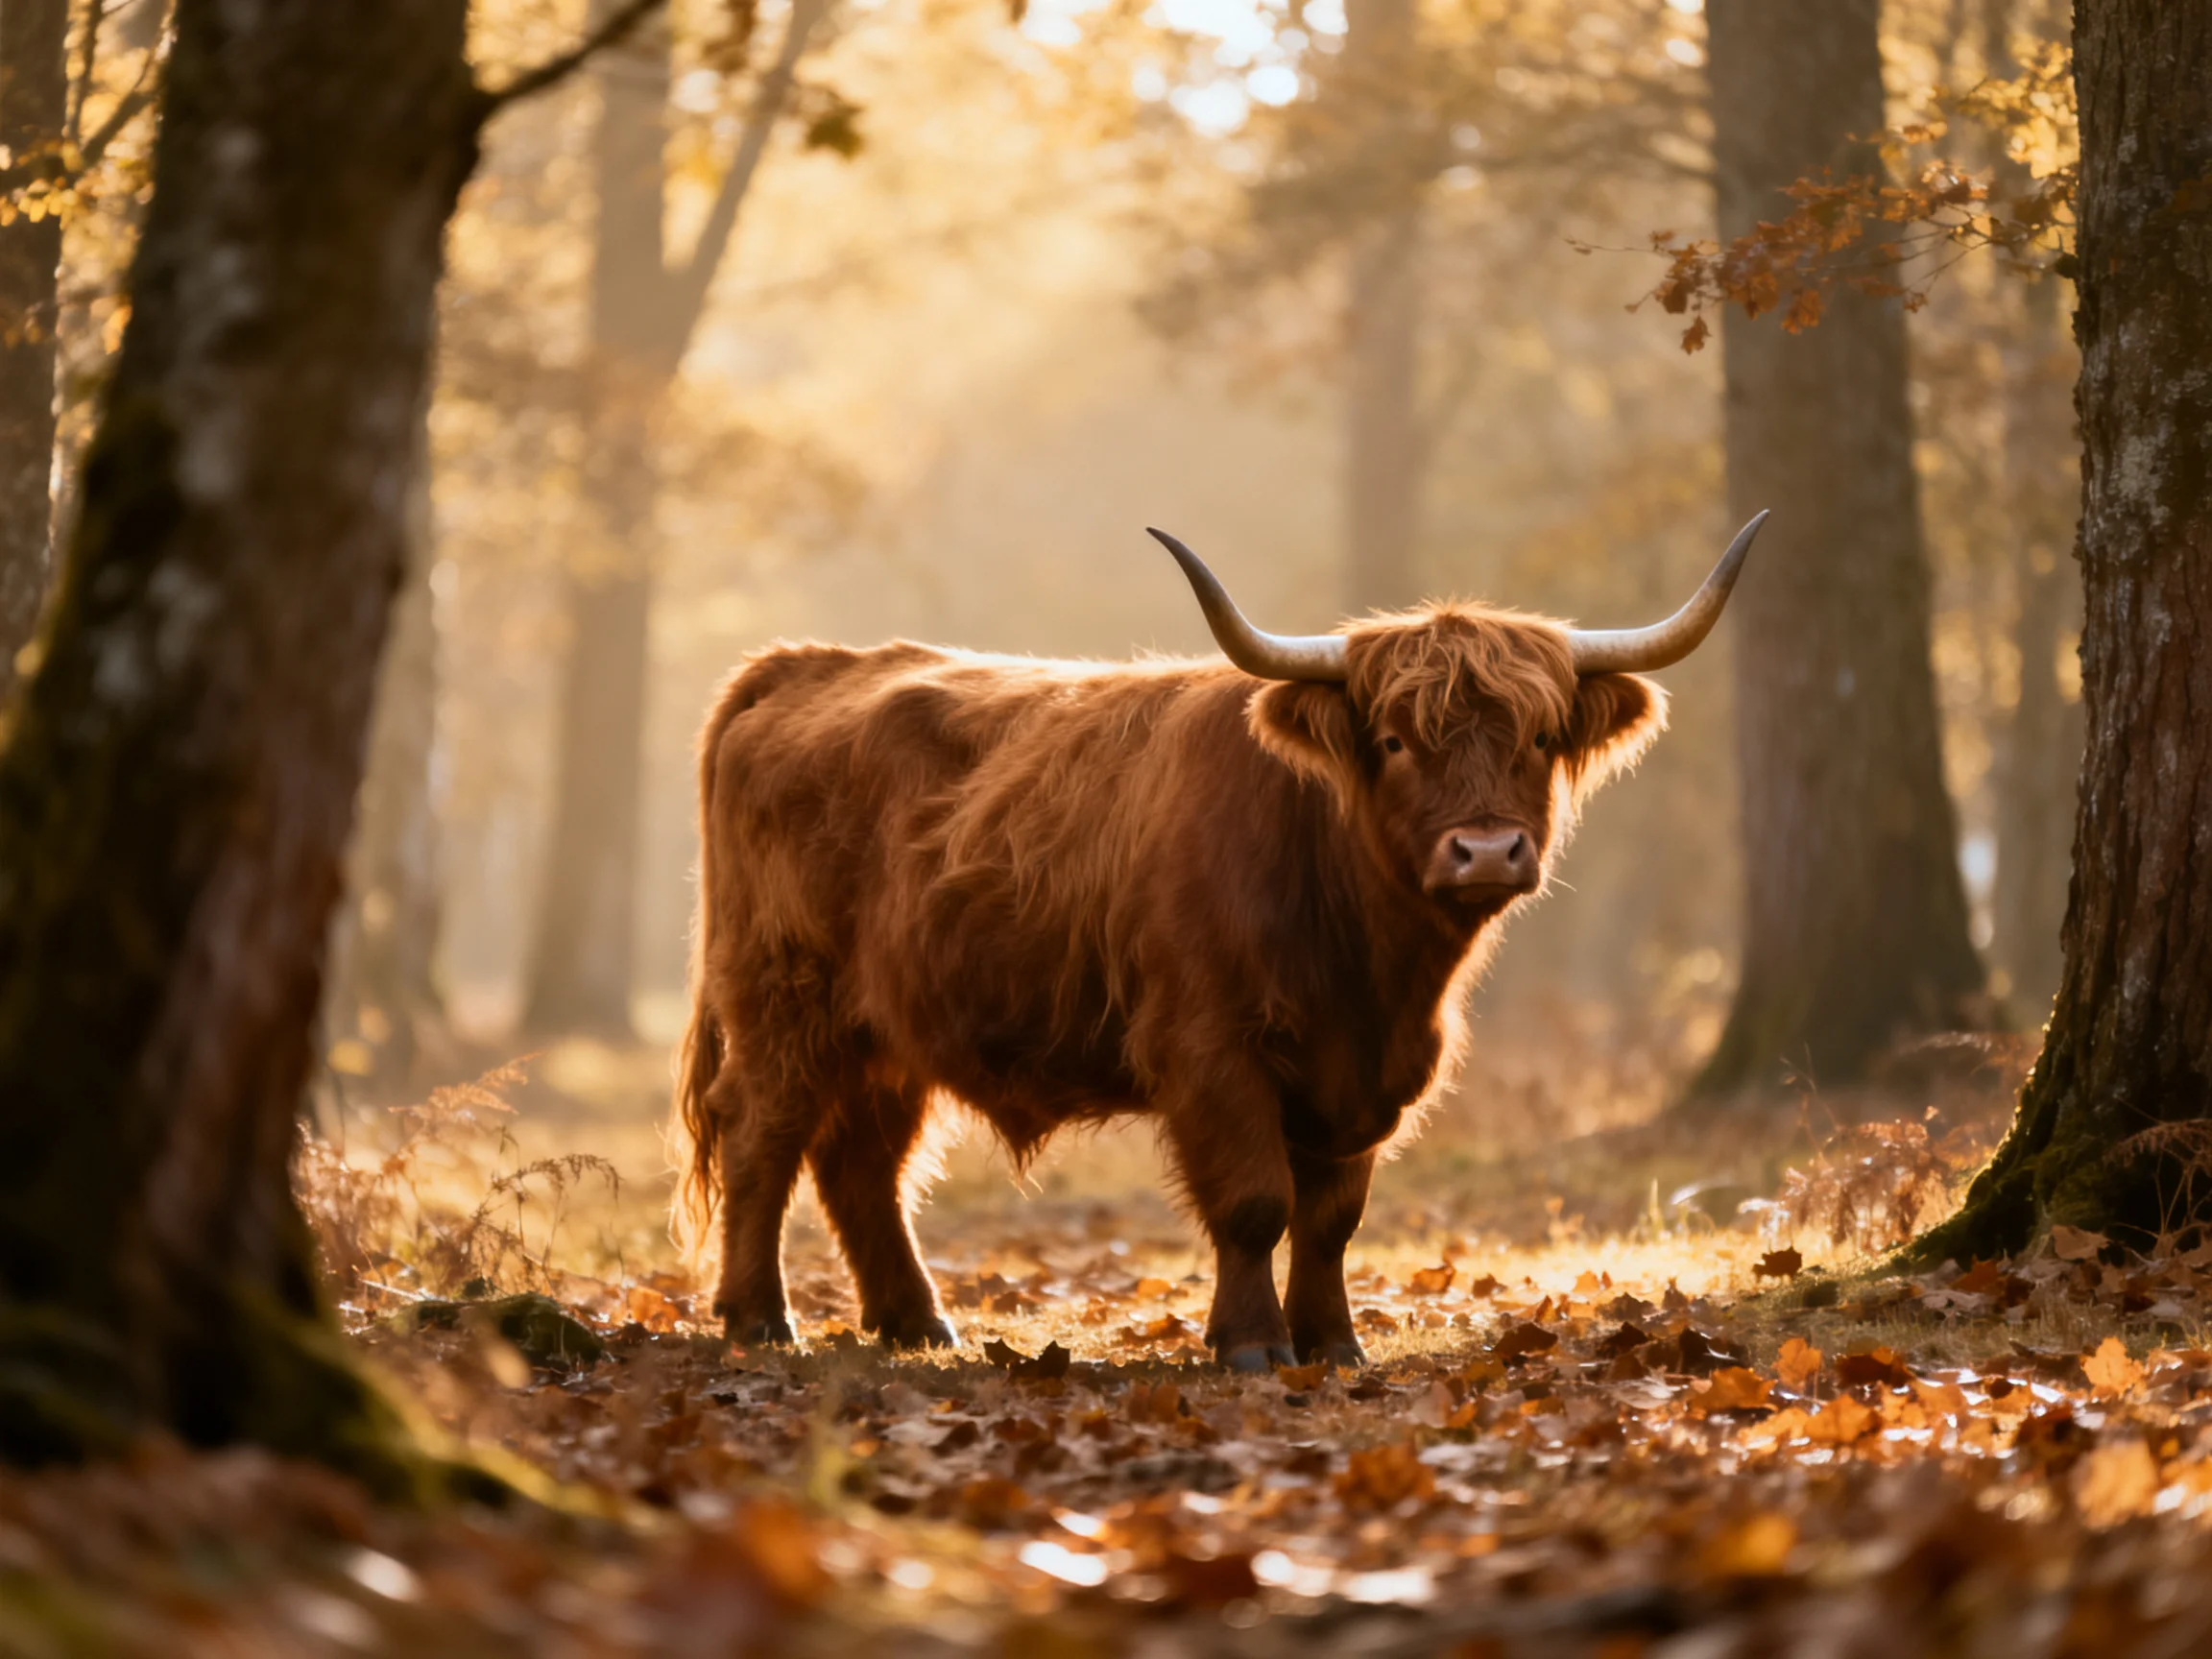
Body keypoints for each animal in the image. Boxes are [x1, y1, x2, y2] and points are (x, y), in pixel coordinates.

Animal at [672, 513, 1766, 1370]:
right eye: (1394, 741)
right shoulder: (1210, 1048)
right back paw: (759, 1318)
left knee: (863, 1160)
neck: (1372, 968)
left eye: (1538, 739)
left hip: (892, 1027)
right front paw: (1249, 1343)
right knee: (764, 1134)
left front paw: (1333, 1342)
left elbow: (1332, 1218)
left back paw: (915, 1322)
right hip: (781, 996)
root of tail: (803, 663)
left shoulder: (1368, 1073)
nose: (1487, 850)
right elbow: (1254, 1202)